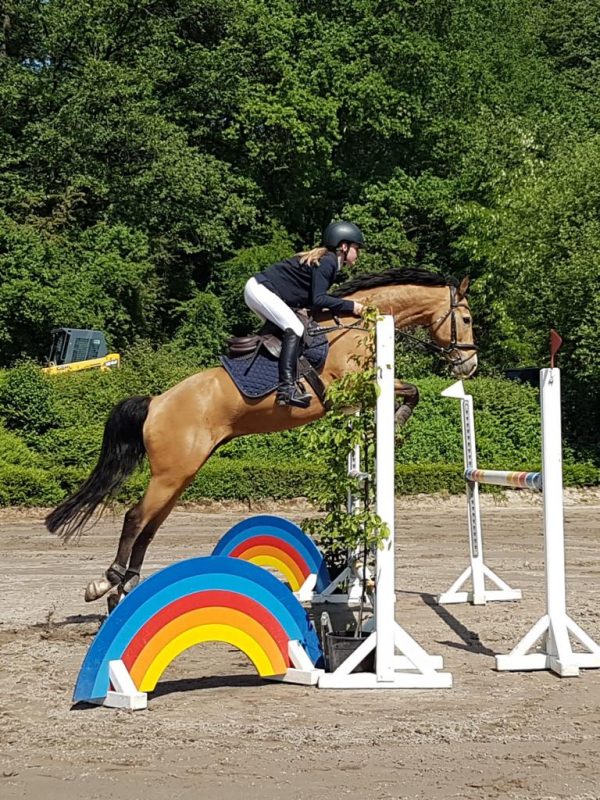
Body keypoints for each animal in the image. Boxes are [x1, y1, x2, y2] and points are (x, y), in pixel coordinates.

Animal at [46, 268, 477, 605]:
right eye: (468, 318)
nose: (469, 366)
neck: (356, 328)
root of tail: (156, 402)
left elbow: (410, 390)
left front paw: (397, 419)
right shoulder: (350, 388)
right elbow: (410, 390)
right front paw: (399, 417)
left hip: (181, 474)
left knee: (150, 526)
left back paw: (127, 585)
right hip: (170, 474)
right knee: (135, 518)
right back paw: (107, 583)